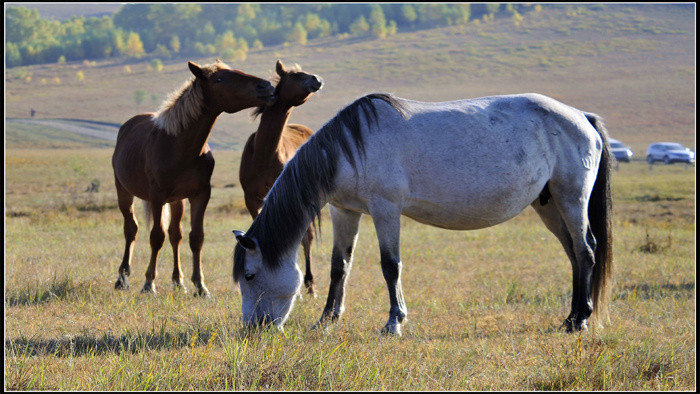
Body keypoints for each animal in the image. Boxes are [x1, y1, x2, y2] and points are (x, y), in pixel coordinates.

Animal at [112, 59, 274, 296]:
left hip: (177, 200)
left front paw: (200, 286)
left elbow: (196, 237)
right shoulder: (157, 196)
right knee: (131, 229)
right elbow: (156, 237)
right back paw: (122, 279)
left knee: (175, 234)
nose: (267, 87)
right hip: (124, 192)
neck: (179, 145)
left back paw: (178, 281)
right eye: (219, 79)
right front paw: (149, 284)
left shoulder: (200, 194)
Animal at [237, 60, 322, 296]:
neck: (264, 154)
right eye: (295, 76)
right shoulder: (251, 198)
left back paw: (310, 284)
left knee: (307, 236)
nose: (317, 79)